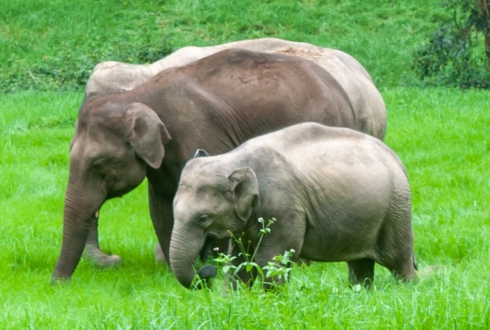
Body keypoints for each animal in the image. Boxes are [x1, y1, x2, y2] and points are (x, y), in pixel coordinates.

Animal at [50, 47, 386, 282]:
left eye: (98, 163)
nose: (57, 285)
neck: (139, 93)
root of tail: (344, 93)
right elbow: (161, 207)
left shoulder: (197, 134)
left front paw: (215, 265)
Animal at [169, 123, 418, 288]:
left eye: (203, 218)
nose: (207, 273)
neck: (233, 159)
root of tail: (395, 157)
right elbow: (240, 260)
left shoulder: (283, 204)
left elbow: (271, 259)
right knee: (360, 263)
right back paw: (360, 292)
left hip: (395, 207)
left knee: (397, 259)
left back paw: (406, 290)